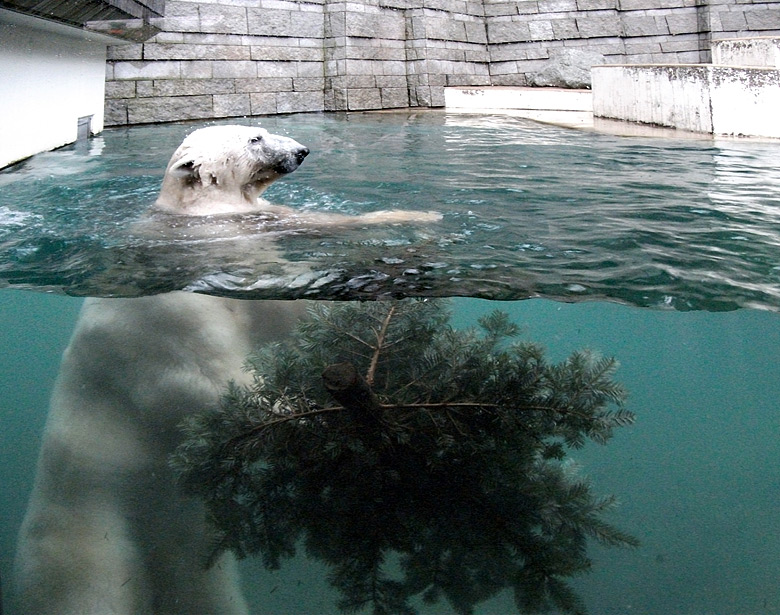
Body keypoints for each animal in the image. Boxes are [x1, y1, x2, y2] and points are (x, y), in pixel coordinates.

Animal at [13, 126, 438, 615]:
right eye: (256, 137)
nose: (302, 151)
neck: (195, 221)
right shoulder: (170, 317)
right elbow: (210, 379)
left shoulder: (259, 224)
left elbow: (303, 252)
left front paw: (416, 228)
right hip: (88, 511)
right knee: (87, 584)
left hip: (184, 523)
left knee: (200, 582)